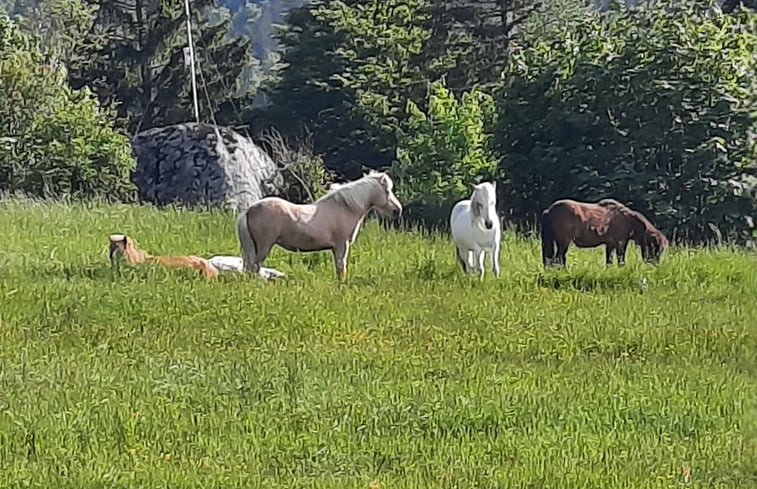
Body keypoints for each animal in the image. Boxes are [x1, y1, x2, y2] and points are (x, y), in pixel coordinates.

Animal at [235, 170, 402, 280]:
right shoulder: (342, 245)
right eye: (387, 191)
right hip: (264, 246)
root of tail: (249, 210)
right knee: (255, 268)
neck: (344, 207)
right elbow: (341, 269)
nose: (397, 210)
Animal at [536, 197, 668, 268]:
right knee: (559, 259)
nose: (655, 265)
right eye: (657, 248)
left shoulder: (610, 244)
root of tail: (549, 210)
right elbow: (621, 259)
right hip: (563, 242)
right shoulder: (621, 243)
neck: (627, 219)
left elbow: (609, 261)